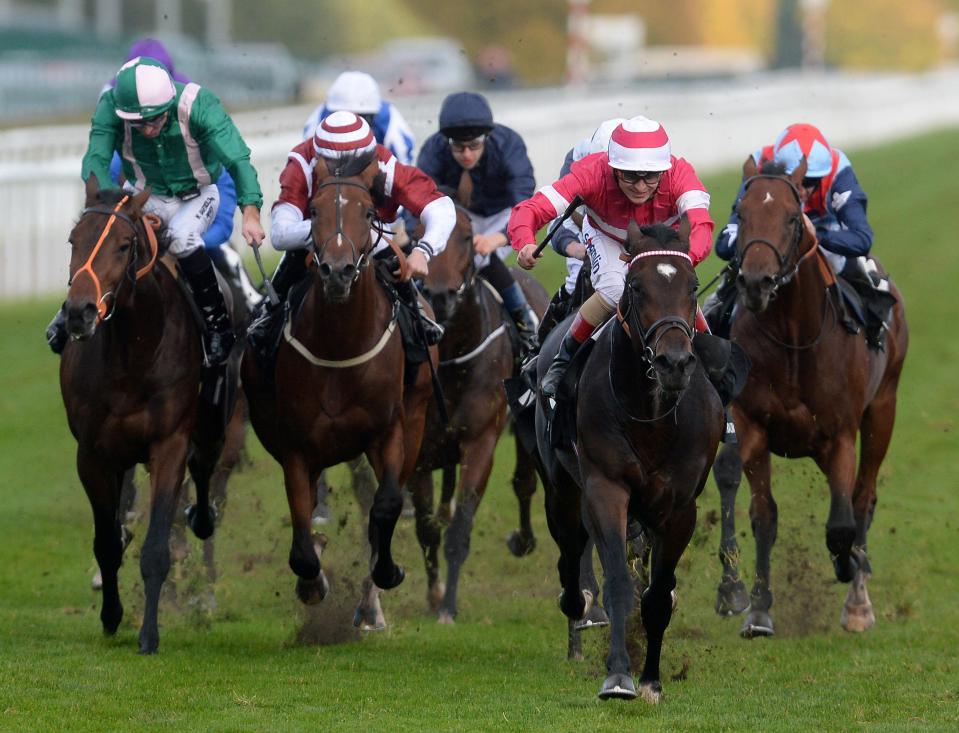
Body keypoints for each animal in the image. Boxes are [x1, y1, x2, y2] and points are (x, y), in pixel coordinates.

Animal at [61, 179, 231, 652]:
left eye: (123, 245)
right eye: (73, 241)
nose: (79, 312)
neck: (132, 353)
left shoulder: (168, 445)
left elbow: (156, 548)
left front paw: (149, 635)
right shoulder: (92, 454)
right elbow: (106, 542)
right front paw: (111, 615)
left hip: (214, 420)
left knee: (204, 467)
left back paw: (202, 518)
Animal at [242, 153, 434, 616]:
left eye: (367, 213)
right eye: (314, 212)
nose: (337, 271)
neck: (340, 346)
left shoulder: (389, 430)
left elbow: (386, 503)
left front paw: (387, 572)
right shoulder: (295, 445)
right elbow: (301, 519)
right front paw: (311, 579)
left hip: (416, 417)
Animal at [410, 202, 552, 624]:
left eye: (468, 237)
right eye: (416, 234)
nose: (439, 296)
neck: (453, 357)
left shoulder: (480, 442)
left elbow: (460, 528)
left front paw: (448, 608)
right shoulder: (418, 450)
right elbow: (426, 528)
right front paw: (434, 593)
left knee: (524, 482)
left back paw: (523, 539)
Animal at [536, 220, 724, 700]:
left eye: (692, 285)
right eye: (636, 287)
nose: (674, 362)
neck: (652, 414)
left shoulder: (679, 507)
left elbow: (657, 594)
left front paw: (652, 679)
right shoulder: (606, 488)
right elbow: (619, 582)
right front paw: (619, 675)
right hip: (561, 488)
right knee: (570, 550)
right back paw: (576, 603)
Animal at [716, 159, 912, 636]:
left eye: (792, 217)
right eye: (740, 213)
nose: (756, 282)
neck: (793, 340)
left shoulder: (839, 434)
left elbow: (842, 522)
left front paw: (848, 568)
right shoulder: (751, 424)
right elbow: (761, 512)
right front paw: (752, 604)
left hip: (883, 408)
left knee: (862, 498)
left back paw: (857, 597)